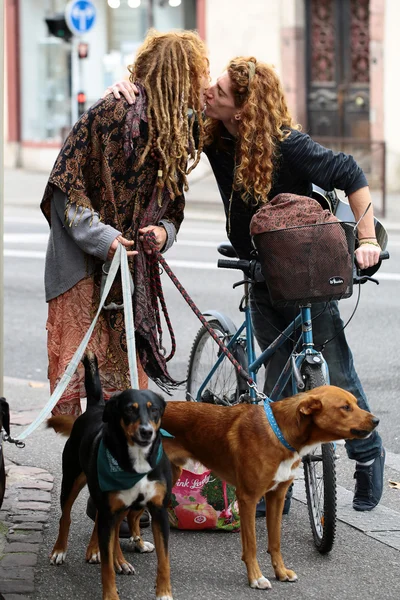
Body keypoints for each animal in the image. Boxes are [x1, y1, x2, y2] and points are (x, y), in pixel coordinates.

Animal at [47, 356, 172, 600]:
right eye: (130, 410)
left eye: (154, 410)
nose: (146, 432)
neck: (137, 460)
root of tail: (96, 406)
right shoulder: (109, 507)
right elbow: (106, 569)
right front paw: (111, 594)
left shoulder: (158, 510)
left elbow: (164, 560)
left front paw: (164, 593)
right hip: (72, 482)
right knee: (66, 517)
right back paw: (60, 550)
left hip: (116, 504)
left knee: (107, 527)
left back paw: (113, 558)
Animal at [161, 384, 380, 592]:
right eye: (345, 407)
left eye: (356, 403)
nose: (377, 421)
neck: (280, 434)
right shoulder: (248, 498)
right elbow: (251, 545)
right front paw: (256, 578)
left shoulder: (277, 496)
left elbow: (275, 542)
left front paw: (281, 572)